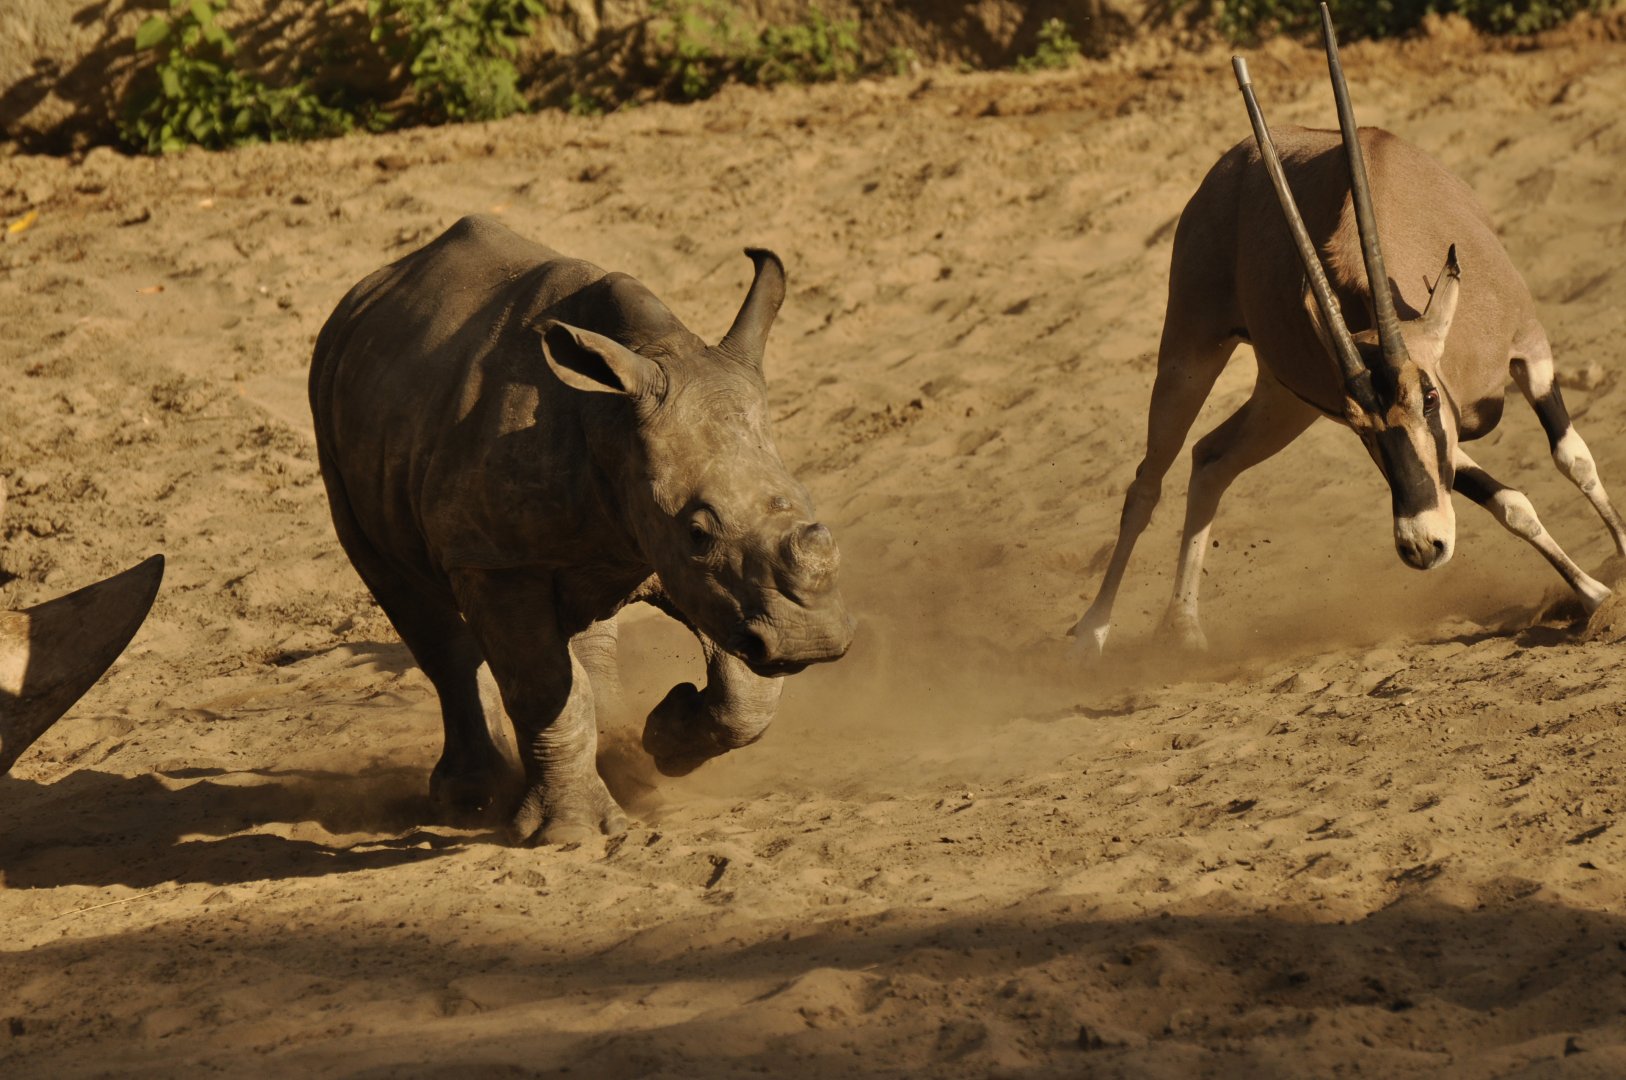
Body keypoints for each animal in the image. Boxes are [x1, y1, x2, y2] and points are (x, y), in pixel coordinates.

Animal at [310, 215, 854, 845]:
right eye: (697, 531)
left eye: (807, 501)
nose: (809, 640)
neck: (610, 420)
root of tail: (371, 290)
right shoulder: (497, 559)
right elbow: (543, 688)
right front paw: (571, 833)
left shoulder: (684, 567)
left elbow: (748, 689)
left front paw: (666, 733)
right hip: (335, 430)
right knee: (419, 611)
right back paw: (472, 801)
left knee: (583, 628)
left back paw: (623, 759)